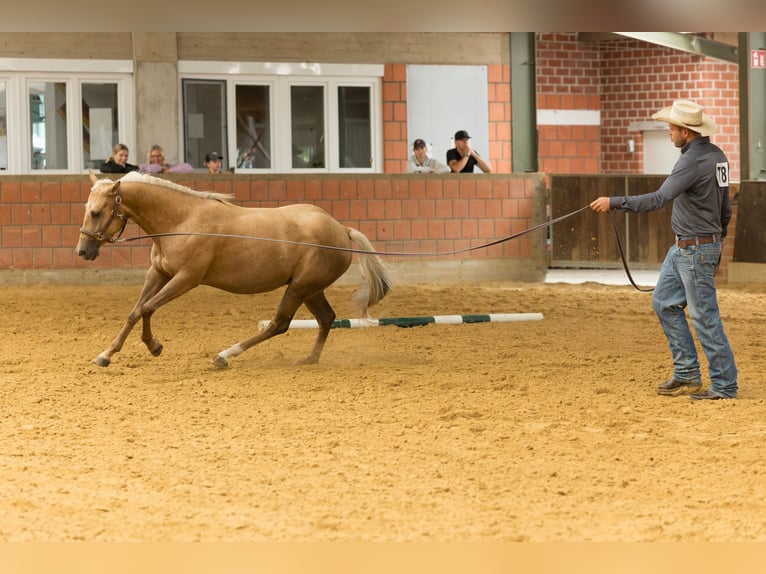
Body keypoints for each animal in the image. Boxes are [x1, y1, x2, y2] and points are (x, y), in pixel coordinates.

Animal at [76, 171, 392, 368]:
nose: (83, 252)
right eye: (86, 210)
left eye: (96, 212)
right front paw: (106, 354)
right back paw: (309, 359)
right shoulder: (159, 273)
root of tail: (342, 230)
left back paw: (225, 356)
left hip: (300, 287)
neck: (182, 220)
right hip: (310, 289)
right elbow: (135, 311)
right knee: (326, 319)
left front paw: (154, 345)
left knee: (279, 324)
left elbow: (147, 308)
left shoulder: (186, 279)